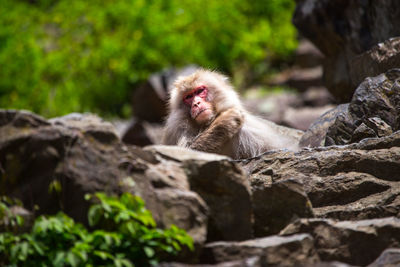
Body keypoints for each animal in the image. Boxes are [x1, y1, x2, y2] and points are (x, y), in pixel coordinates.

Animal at [162, 69, 304, 161]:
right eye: (188, 97)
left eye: (200, 91)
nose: (196, 103)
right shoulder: (177, 125)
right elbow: (184, 152)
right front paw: (225, 122)